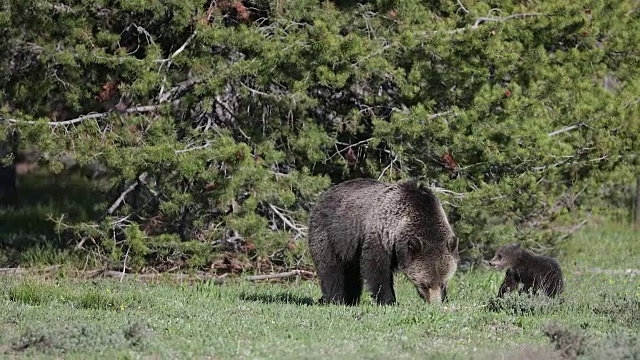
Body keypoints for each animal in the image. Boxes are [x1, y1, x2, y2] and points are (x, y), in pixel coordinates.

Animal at [308, 179, 458, 306]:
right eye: (425, 284)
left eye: (443, 283)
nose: (435, 303)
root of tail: (325, 194)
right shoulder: (381, 234)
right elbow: (377, 268)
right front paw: (389, 300)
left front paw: (446, 298)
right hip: (330, 234)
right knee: (330, 268)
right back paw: (335, 299)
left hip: (350, 248)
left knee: (351, 273)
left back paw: (351, 299)